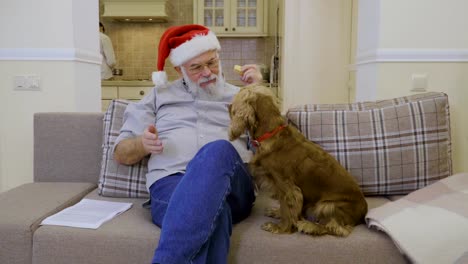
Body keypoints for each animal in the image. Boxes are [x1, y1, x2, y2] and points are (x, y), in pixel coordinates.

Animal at [229, 85, 368, 237]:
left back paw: (309, 226)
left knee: (335, 228)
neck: (271, 133)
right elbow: (287, 208)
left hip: (327, 205)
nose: (228, 106)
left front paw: (280, 228)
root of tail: (364, 213)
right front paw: (277, 213)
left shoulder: (287, 186)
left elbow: (287, 209)